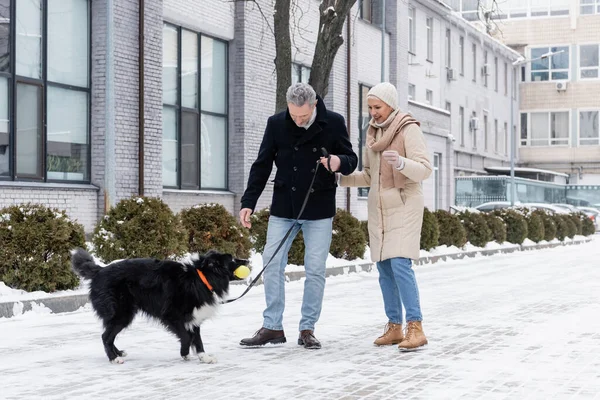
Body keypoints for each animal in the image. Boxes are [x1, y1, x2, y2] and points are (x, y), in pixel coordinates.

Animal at [71, 248, 246, 364]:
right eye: (231, 259)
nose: (247, 260)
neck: (201, 277)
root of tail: (99, 270)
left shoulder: (194, 317)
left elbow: (197, 339)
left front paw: (204, 357)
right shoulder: (171, 315)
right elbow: (187, 336)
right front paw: (184, 353)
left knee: (109, 335)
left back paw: (119, 353)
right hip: (122, 313)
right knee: (105, 336)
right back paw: (114, 358)